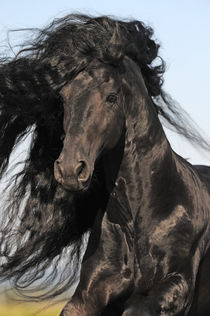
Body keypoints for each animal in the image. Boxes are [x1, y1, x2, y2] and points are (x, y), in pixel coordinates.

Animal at [0, 14, 210, 316]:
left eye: (112, 97)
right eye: (63, 98)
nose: (69, 170)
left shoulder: (177, 286)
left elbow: (137, 308)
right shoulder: (88, 295)